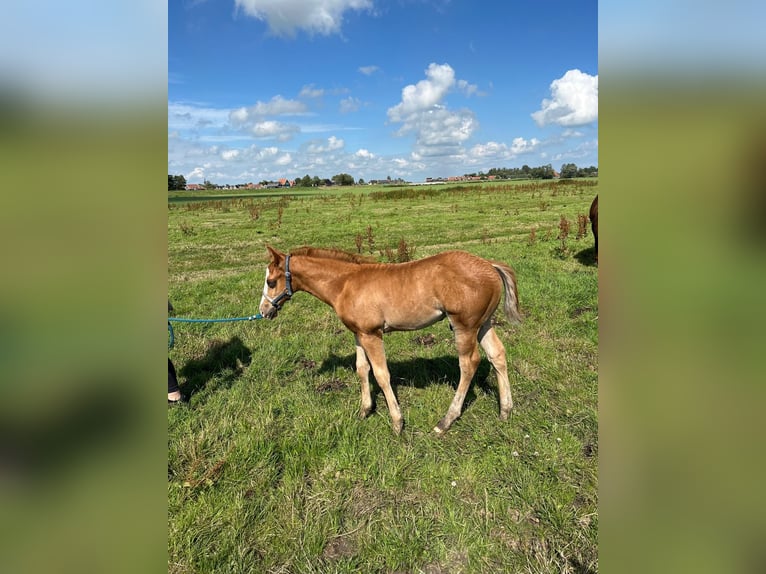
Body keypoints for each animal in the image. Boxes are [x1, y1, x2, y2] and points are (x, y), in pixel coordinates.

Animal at [260, 244, 520, 436]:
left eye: (271, 282)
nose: (264, 311)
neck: (345, 283)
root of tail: (489, 265)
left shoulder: (372, 334)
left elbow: (382, 374)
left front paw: (397, 422)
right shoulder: (359, 333)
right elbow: (362, 369)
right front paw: (365, 410)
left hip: (464, 326)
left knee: (468, 364)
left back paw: (445, 421)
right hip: (482, 324)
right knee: (497, 354)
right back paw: (505, 410)